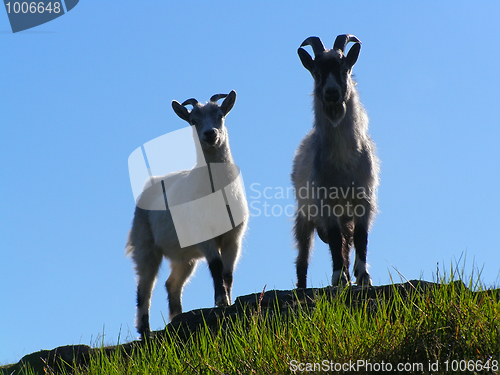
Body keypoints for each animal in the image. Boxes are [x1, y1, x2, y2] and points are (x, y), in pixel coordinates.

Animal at [127, 92, 248, 340]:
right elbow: (216, 266)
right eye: (193, 120)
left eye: (220, 115)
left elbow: (228, 273)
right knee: (144, 286)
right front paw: (221, 301)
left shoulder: (234, 237)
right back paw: (145, 330)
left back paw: (177, 316)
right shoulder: (204, 234)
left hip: (184, 254)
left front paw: (229, 301)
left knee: (171, 283)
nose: (210, 134)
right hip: (145, 243)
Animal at [292, 34, 378, 288]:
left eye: (345, 68)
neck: (343, 164)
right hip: (303, 214)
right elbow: (333, 237)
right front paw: (338, 277)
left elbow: (360, 237)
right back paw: (302, 286)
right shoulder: (325, 201)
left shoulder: (364, 198)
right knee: (303, 255)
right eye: (316, 72)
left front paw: (363, 277)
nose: (331, 93)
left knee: (347, 243)